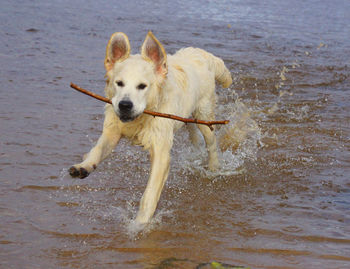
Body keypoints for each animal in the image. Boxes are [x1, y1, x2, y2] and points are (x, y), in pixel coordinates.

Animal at [69, 30, 232, 224]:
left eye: (142, 86)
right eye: (119, 83)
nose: (125, 105)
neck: (142, 116)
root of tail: (200, 53)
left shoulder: (161, 150)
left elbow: (149, 194)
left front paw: (140, 224)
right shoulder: (112, 130)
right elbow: (97, 150)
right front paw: (83, 166)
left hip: (204, 115)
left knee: (211, 143)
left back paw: (214, 168)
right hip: (187, 115)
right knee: (193, 132)